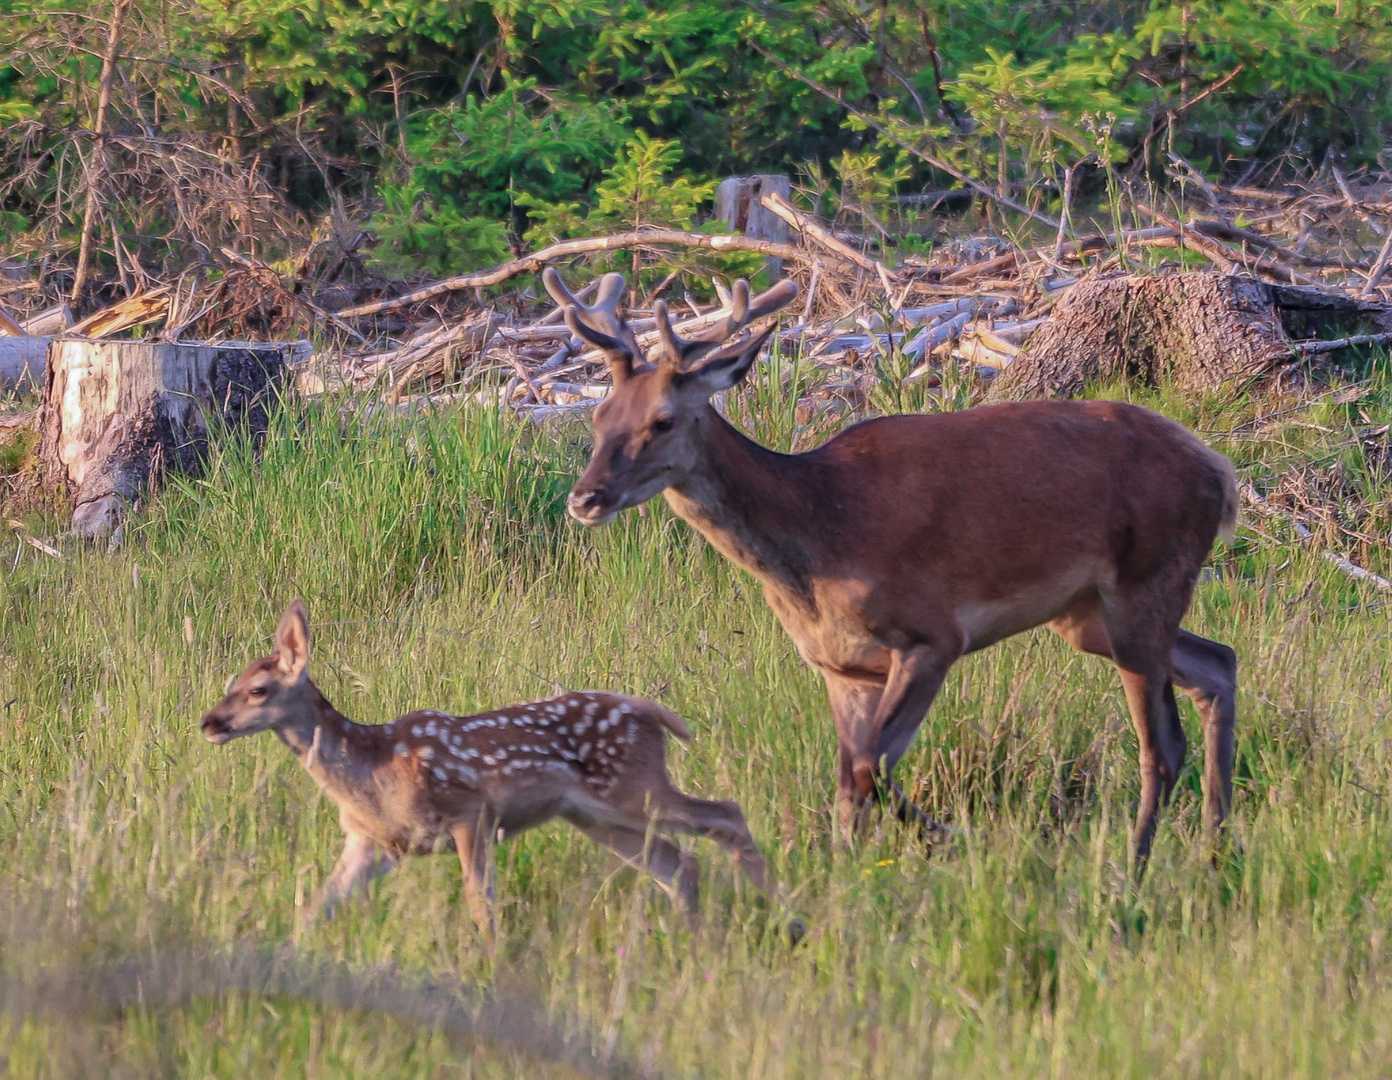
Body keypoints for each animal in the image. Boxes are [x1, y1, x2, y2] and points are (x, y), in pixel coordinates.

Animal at [203, 598, 779, 935]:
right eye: (231, 682)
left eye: (258, 690)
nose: (210, 722)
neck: (370, 771)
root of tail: (648, 709)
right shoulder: (374, 842)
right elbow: (314, 908)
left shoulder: (469, 810)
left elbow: (480, 904)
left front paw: (485, 969)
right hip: (596, 817)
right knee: (678, 862)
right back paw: (697, 940)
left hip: (635, 788)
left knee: (725, 814)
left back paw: (783, 915)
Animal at [542, 270, 1241, 868]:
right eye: (600, 415)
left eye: (661, 421)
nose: (585, 498)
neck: (821, 533)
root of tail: (1220, 473)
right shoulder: (840, 666)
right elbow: (847, 781)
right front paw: (848, 878)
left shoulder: (933, 634)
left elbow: (867, 770)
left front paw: (948, 837)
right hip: (1088, 615)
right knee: (1218, 664)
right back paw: (1214, 849)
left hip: (1145, 579)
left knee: (1162, 746)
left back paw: (1133, 873)